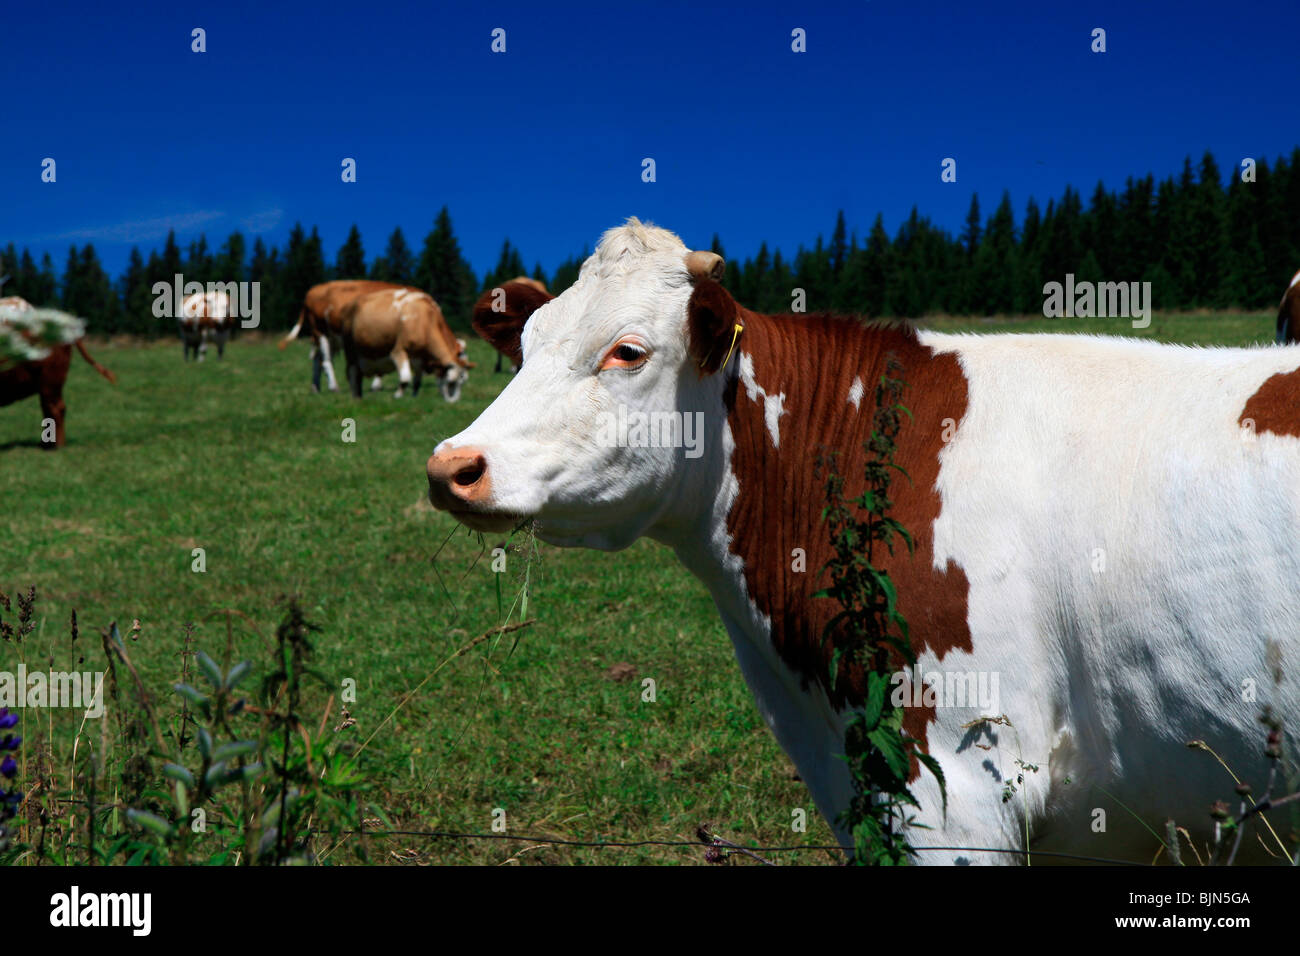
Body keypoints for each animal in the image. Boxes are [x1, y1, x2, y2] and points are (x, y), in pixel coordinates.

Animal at [340, 286, 473, 403]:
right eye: (450, 382)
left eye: (461, 381)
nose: (453, 402)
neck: (425, 320)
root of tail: (351, 304)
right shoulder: (398, 351)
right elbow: (405, 378)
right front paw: (398, 396)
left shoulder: (419, 359)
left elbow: (417, 382)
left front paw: (414, 397)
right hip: (351, 352)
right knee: (353, 374)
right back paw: (356, 399)